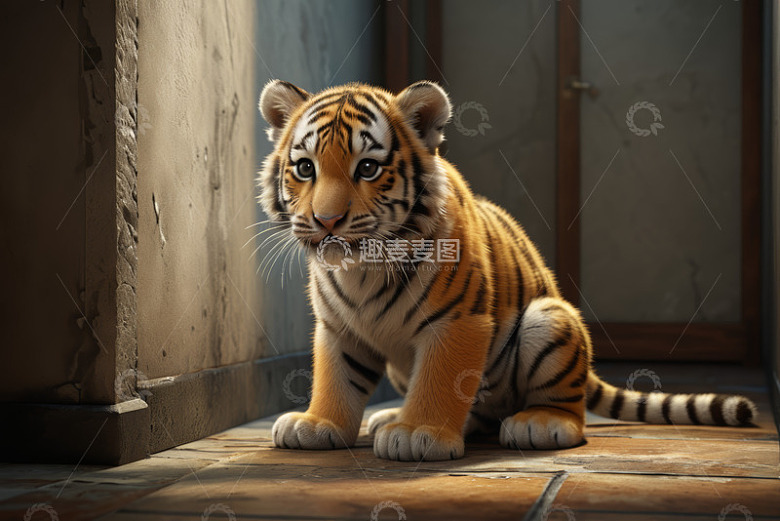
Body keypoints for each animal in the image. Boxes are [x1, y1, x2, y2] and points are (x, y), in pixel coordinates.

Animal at [256, 79, 758, 461]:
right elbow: (336, 377)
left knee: (569, 411)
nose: (326, 221)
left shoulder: (457, 322)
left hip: (549, 320)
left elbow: (439, 379)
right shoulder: (338, 327)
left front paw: (419, 433)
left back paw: (540, 423)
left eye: (366, 168)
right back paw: (390, 416)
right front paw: (318, 424)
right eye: (305, 168)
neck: (363, 269)